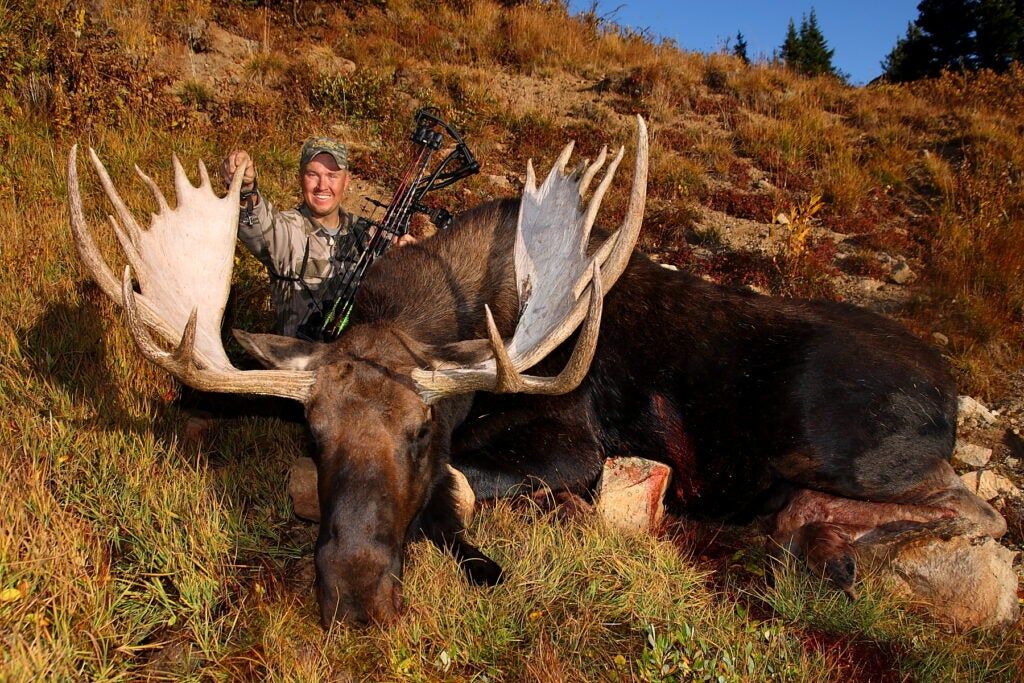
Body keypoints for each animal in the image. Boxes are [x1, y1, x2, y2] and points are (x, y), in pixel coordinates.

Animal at [69, 115, 1007, 628]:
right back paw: (809, 538)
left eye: (421, 429)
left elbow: (468, 483)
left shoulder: (573, 436)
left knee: (977, 509)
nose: (355, 596)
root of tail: (952, 391)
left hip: (832, 441)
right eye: (314, 427)